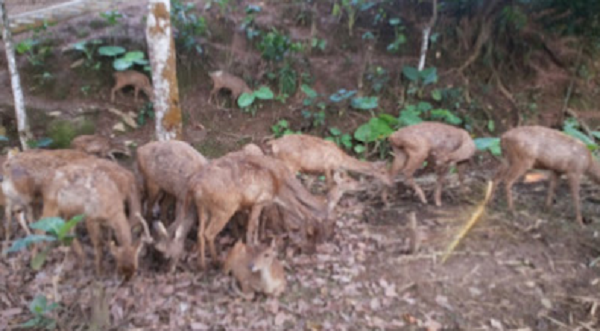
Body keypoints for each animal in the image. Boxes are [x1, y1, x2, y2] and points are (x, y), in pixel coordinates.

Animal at [264, 134, 392, 191]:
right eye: (383, 172)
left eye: (387, 170)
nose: (390, 183)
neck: (341, 159)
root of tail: (274, 143)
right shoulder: (327, 166)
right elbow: (329, 185)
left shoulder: (315, 172)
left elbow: (309, 186)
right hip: (290, 164)